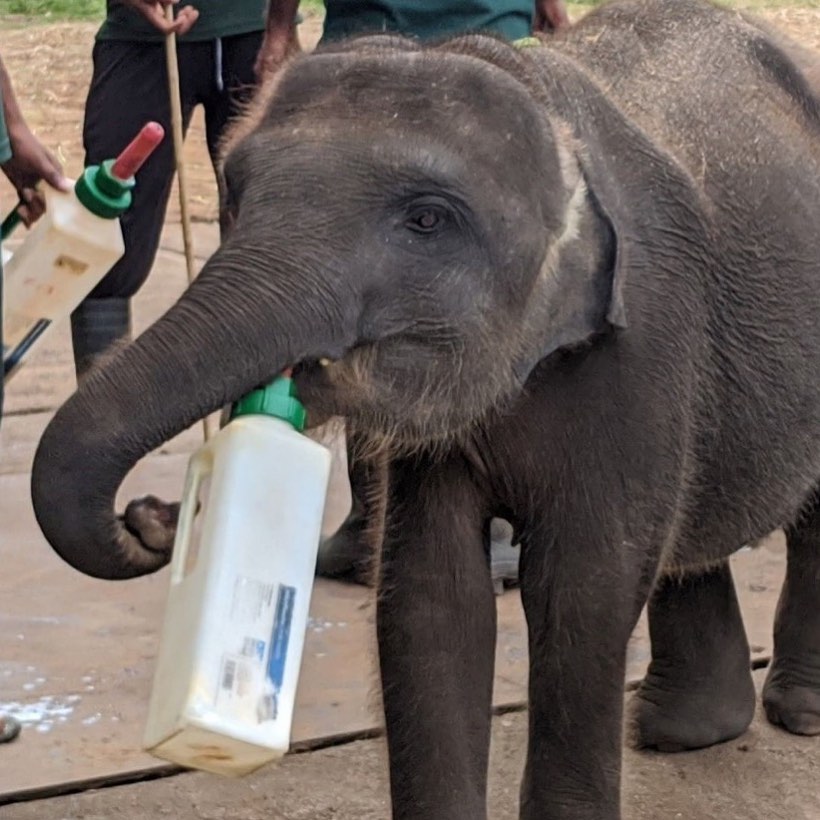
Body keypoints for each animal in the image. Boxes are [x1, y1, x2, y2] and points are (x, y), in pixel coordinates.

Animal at [29, 0, 820, 817]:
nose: (149, 516)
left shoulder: (646, 340)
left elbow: (584, 589)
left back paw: (794, 715)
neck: (545, 104)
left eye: (428, 221)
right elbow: (429, 597)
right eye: (236, 194)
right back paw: (680, 733)